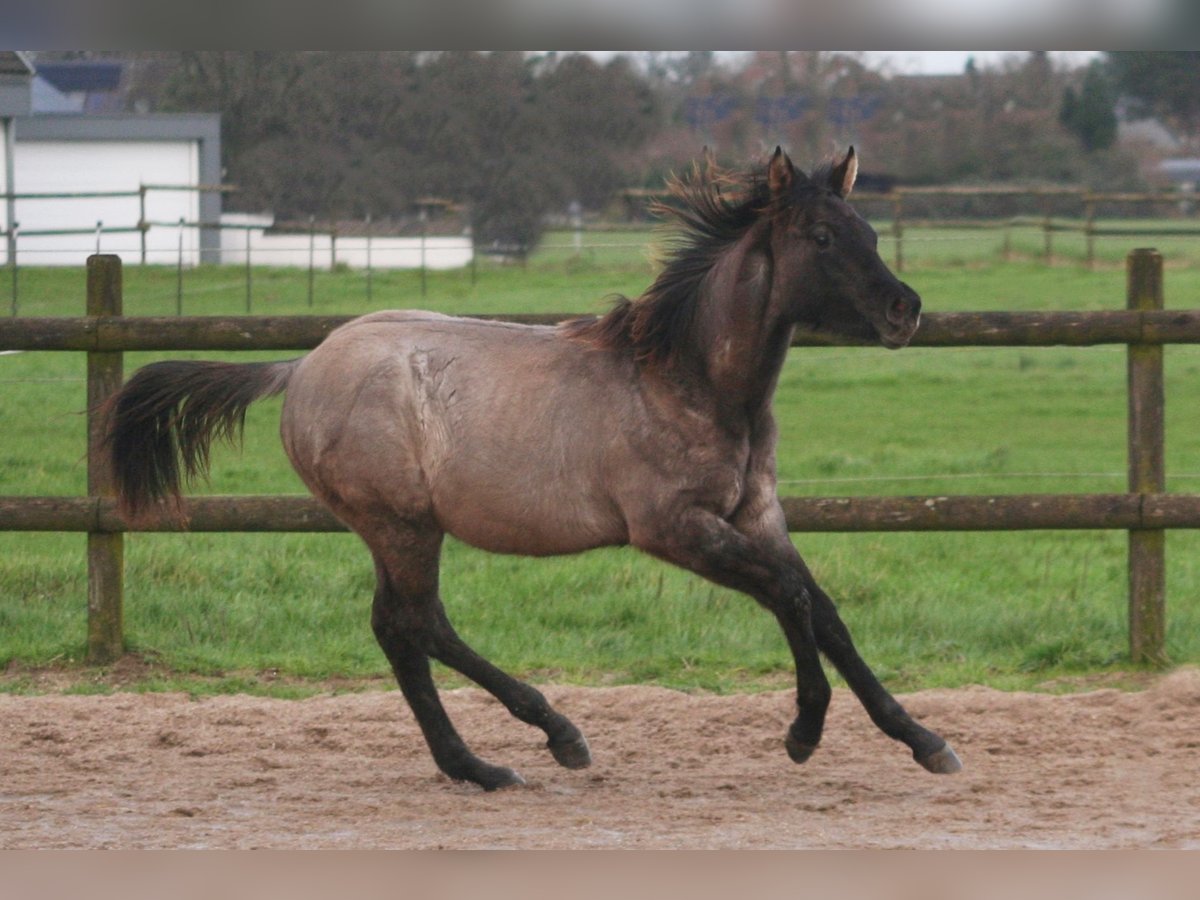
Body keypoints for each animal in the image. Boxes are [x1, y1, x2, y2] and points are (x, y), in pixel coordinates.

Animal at [105, 148, 964, 787]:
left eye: (868, 229)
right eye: (820, 236)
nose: (906, 310)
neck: (690, 379)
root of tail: (299, 366)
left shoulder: (758, 514)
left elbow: (825, 609)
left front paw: (924, 740)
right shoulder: (673, 530)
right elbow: (790, 596)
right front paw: (804, 730)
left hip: (397, 528)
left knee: (402, 626)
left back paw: (494, 757)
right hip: (400, 522)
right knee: (414, 623)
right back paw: (531, 746)